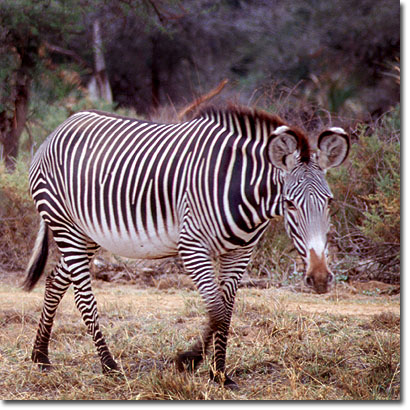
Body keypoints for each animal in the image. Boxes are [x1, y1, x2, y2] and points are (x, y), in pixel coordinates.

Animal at [23, 105, 350, 388]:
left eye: (329, 202)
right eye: (290, 204)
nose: (320, 278)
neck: (238, 190)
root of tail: (63, 125)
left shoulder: (240, 253)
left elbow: (226, 312)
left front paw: (220, 374)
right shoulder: (193, 247)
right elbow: (216, 312)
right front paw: (189, 360)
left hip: (88, 233)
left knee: (55, 280)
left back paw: (40, 356)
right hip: (65, 225)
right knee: (83, 298)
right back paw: (109, 366)